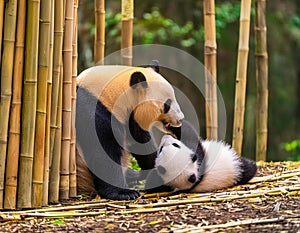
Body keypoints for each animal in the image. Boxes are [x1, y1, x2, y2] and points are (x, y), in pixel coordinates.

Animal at [76, 61, 184, 200]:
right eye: (167, 104)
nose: (180, 119)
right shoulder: (93, 111)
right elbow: (102, 152)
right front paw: (123, 193)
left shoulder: (131, 118)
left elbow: (143, 144)